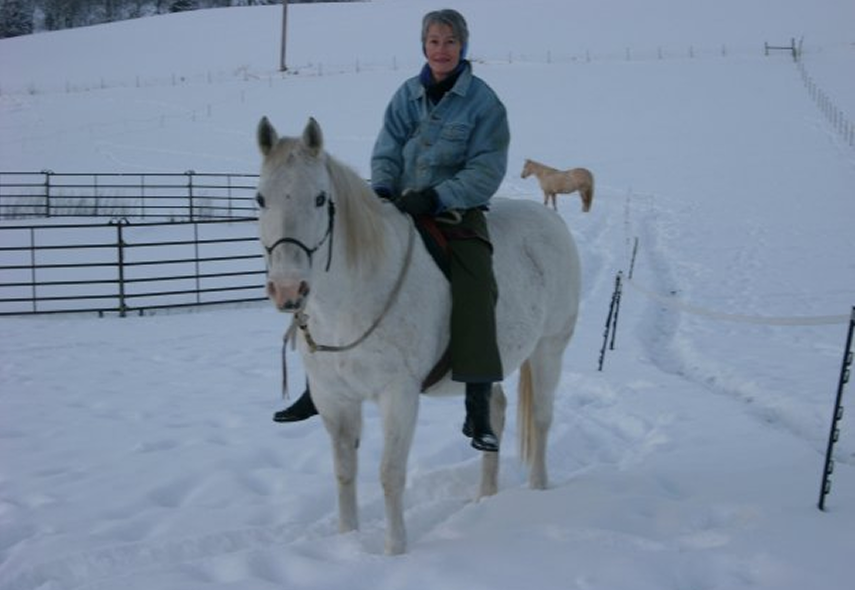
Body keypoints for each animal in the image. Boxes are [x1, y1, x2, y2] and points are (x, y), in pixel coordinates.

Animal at [255, 117, 581, 555]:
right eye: (260, 199)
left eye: (321, 199)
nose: (288, 289)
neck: (351, 301)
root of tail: (553, 222)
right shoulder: (334, 399)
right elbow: (344, 472)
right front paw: (347, 539)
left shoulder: (398, 395)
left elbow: (390, 473)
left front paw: (395, 550)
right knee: (495, 409)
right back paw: (485, 494)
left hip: (549, 348)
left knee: (542, 419)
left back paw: (537, 489)